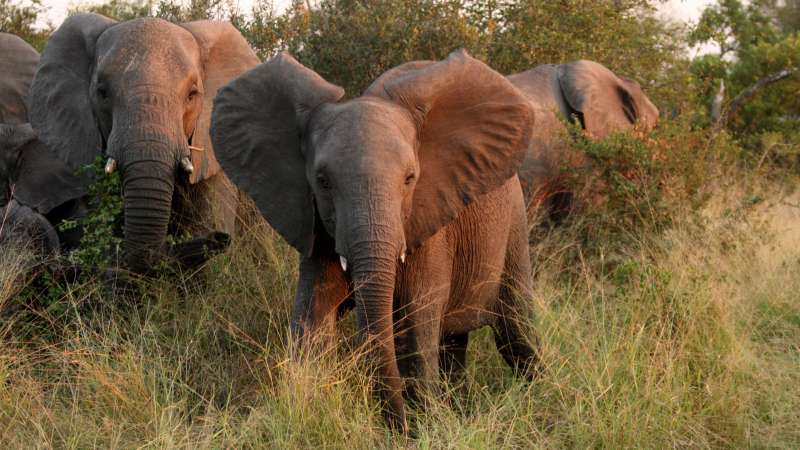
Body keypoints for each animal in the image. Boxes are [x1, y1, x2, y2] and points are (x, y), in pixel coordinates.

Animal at [210, 49, 538, 431]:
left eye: (410, 178)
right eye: (322, 181)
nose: (398, 427)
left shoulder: (429, 224)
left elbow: (415, 325)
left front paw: (422, 428)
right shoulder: (318, 228)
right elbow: (312, 316)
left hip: (515, 223)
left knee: (517, 332)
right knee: (454, 342)